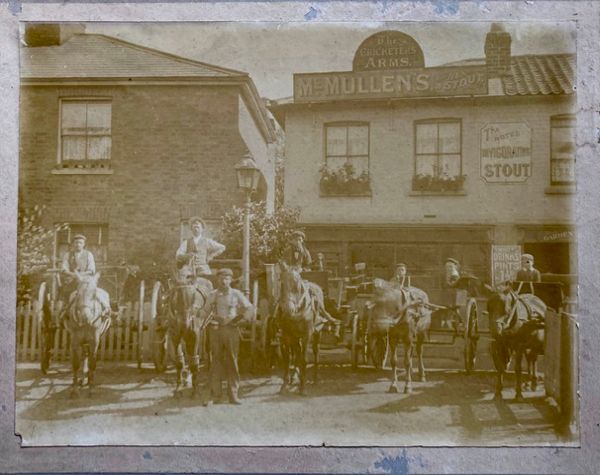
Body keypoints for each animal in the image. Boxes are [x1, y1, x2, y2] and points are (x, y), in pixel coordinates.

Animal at [278, 262, 336, 396]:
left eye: (297, 285)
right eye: (281, 284)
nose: (288, 309)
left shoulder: (307, 334)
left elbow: (304, 359)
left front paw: (303, 387)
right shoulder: (289, 335)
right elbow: (289, 359)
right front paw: (285, 384)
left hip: (317, 333)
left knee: (315, 352)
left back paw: (315, 378)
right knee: (296, 353)